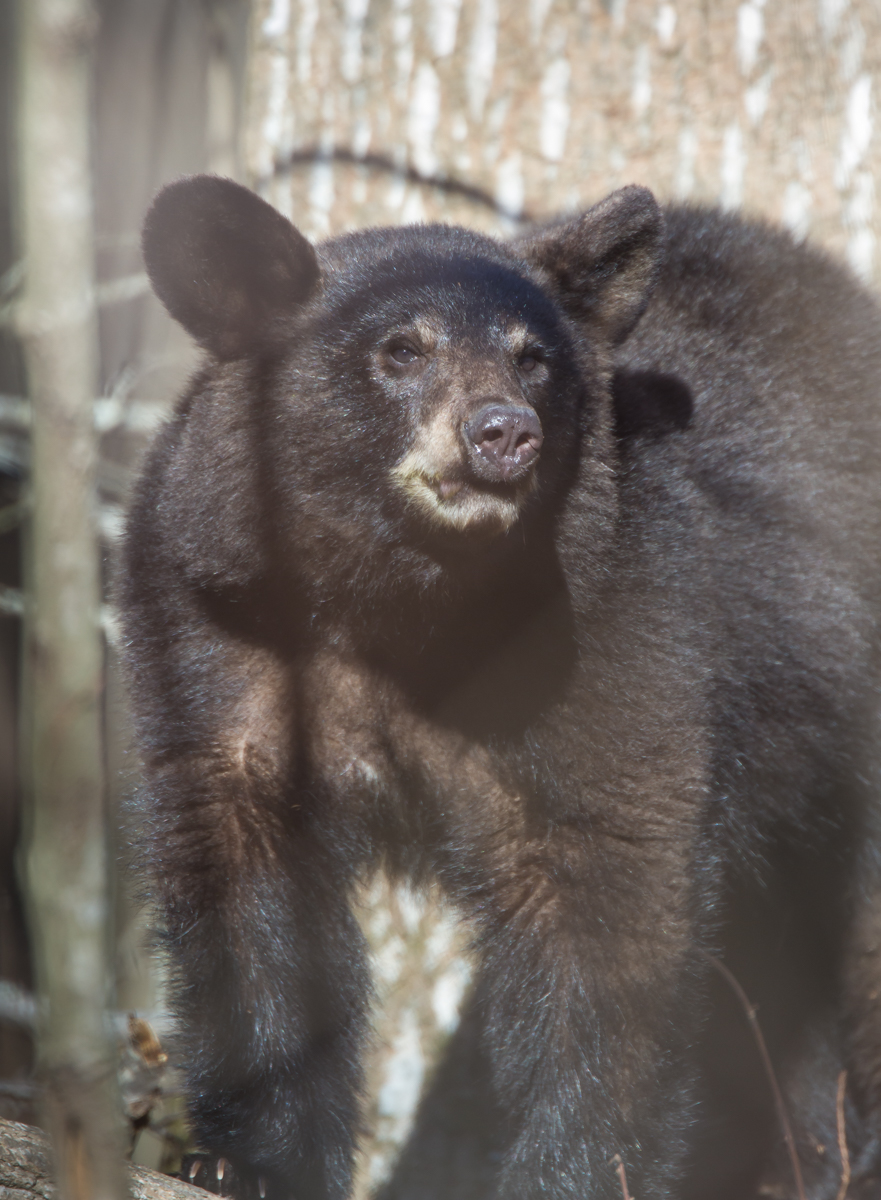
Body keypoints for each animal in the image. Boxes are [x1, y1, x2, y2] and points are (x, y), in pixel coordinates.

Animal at [120, 173, 881, 1200]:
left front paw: (573, 1175)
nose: (502, 433)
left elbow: (611, 893)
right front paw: (246, 1158)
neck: (402, 600)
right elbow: (247, 875)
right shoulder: (213, 628)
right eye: (401, 350)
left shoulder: (620, 636)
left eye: (533, 361)